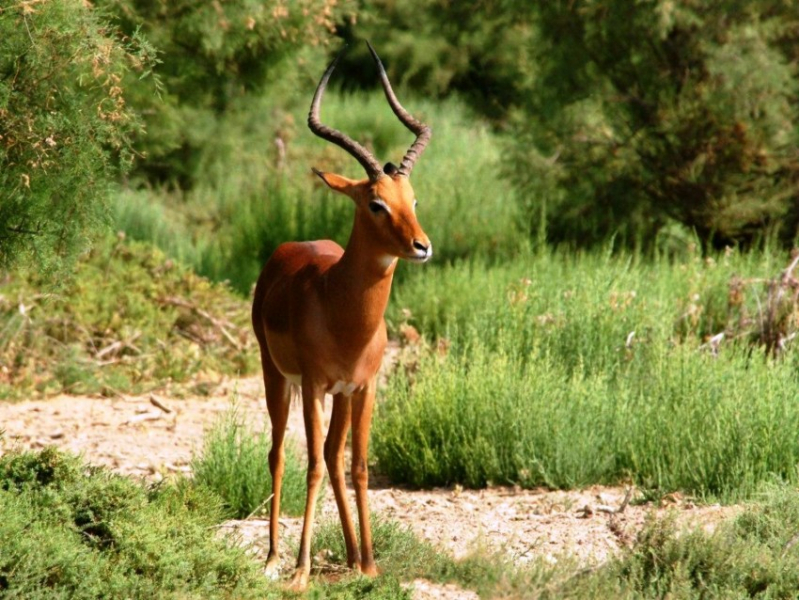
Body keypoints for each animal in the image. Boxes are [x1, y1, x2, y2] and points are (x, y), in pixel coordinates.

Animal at [253, 43, 434, 592]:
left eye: (412, 199)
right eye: (375, 203)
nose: (422, 246)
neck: (345, 315)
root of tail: (287, 250)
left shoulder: (365, 386)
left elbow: (357, 467)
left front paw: (371, 565)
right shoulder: (314, 384)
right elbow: (310, 465)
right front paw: (300, 571)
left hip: (340, 396)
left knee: (335, 457)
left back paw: (353, 556)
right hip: (276, 377)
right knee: (281, 453)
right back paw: (273, 558)